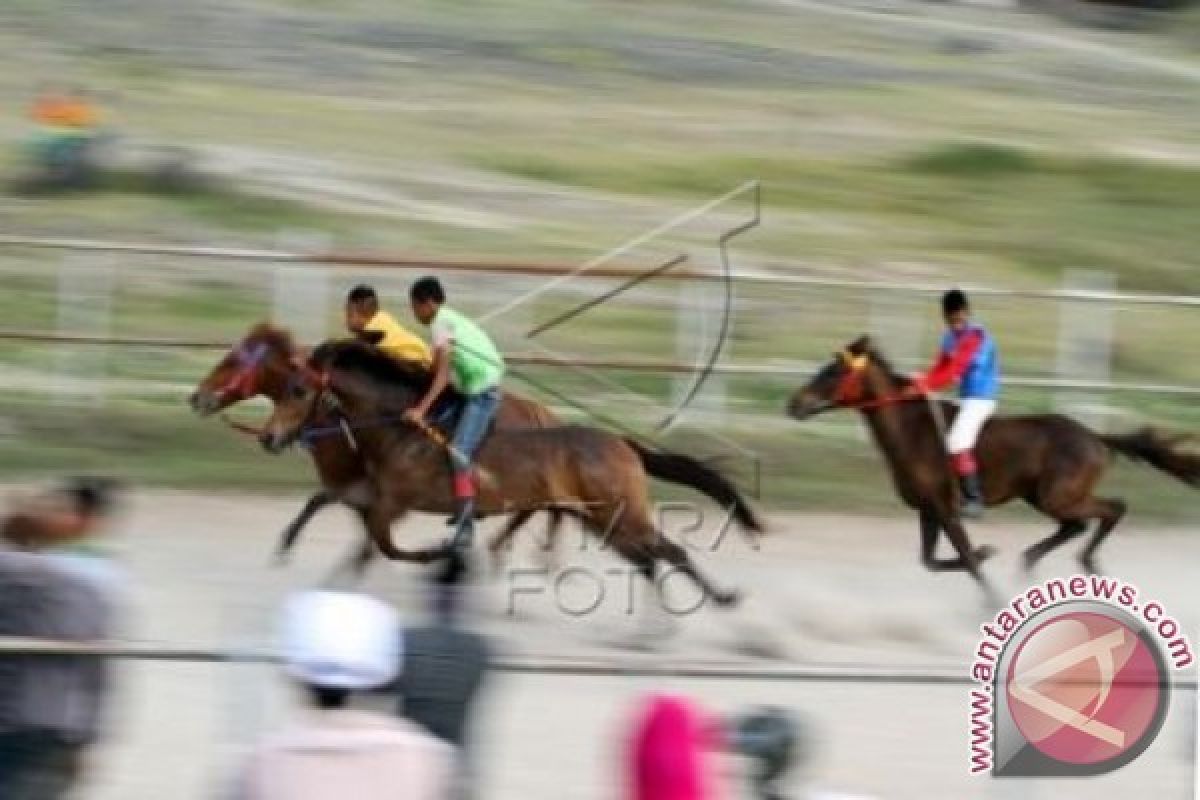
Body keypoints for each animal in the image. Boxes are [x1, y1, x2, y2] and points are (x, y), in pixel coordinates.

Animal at [258, 338, 763, 606]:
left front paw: (439, 553)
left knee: (668, 552)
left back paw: (722, 607)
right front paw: (293, 552)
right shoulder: (372, 493)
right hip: (597, 518)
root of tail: (624, 444)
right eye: (280, 387)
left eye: (299, 390)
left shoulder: (395, 501)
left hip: (618, 512)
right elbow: (339, 517)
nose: (267, 437)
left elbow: (383, 546)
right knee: (648, 559)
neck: (399, 428)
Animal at [787, 333, 1200, 594]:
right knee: (1077, 525)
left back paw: (1086, 561)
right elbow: (931, 561)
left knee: (1112, 509)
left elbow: (968, 561)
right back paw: (1032, 562)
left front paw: (989, 595)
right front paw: (988, 555)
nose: (794, 403)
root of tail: (1095, 437)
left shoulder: (946, 508)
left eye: (834, 371)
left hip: (1058, 496)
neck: (912, 431)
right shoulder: (928, 510)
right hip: (1044, 497)